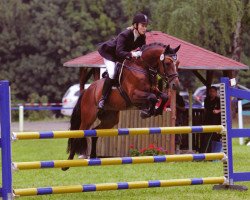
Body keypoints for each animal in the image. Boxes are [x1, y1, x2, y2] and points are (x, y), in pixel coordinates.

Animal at [62, 42, 180, 170]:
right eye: (167, 63)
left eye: (177, 63)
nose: (175, 85)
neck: (142, 67)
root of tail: (87, 90)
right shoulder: (134, 95)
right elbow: (152, 97)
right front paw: (146, 112)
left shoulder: (153, 89)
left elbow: (164, 96)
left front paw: (155, 111)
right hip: (88, 117)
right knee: (78, 134)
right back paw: (67, 163)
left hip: (110, 119)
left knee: (95, 132)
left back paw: (93, 157)